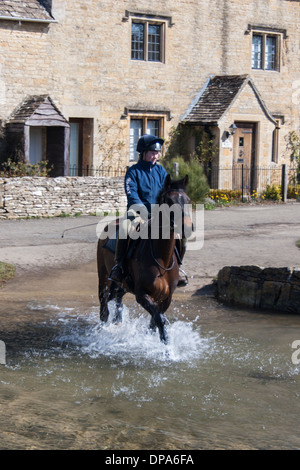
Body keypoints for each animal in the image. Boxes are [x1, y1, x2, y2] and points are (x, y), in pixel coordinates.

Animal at [97, 174, 193, 344]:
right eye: (169, 201)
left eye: (187, 199)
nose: (187, 227)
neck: (161, 259)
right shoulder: (142, 295)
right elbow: (159, 320)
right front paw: (166, 346)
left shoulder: (166, 298)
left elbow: (155, 321)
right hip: (103, 279)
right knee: (104, 307)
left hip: (122, 285)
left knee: (117, 300)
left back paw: (117, 321)